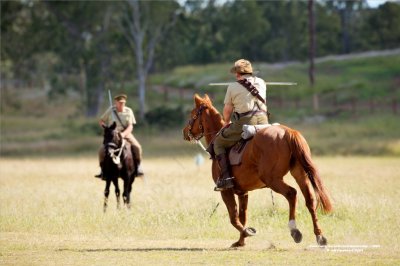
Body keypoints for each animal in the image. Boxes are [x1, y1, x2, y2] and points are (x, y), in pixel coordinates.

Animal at [183, 94, 332, 247]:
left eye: (192, 115)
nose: (185, 132)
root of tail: (288, 132)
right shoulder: (243, 192)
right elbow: (242, 216)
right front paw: (241, 241)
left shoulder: (226, 191)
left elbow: (234, 218)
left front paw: (247, 232)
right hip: (300, 175)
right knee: (310, 200)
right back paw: (319, 236)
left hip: (273, 180)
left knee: (292, 194)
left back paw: (294, 230)